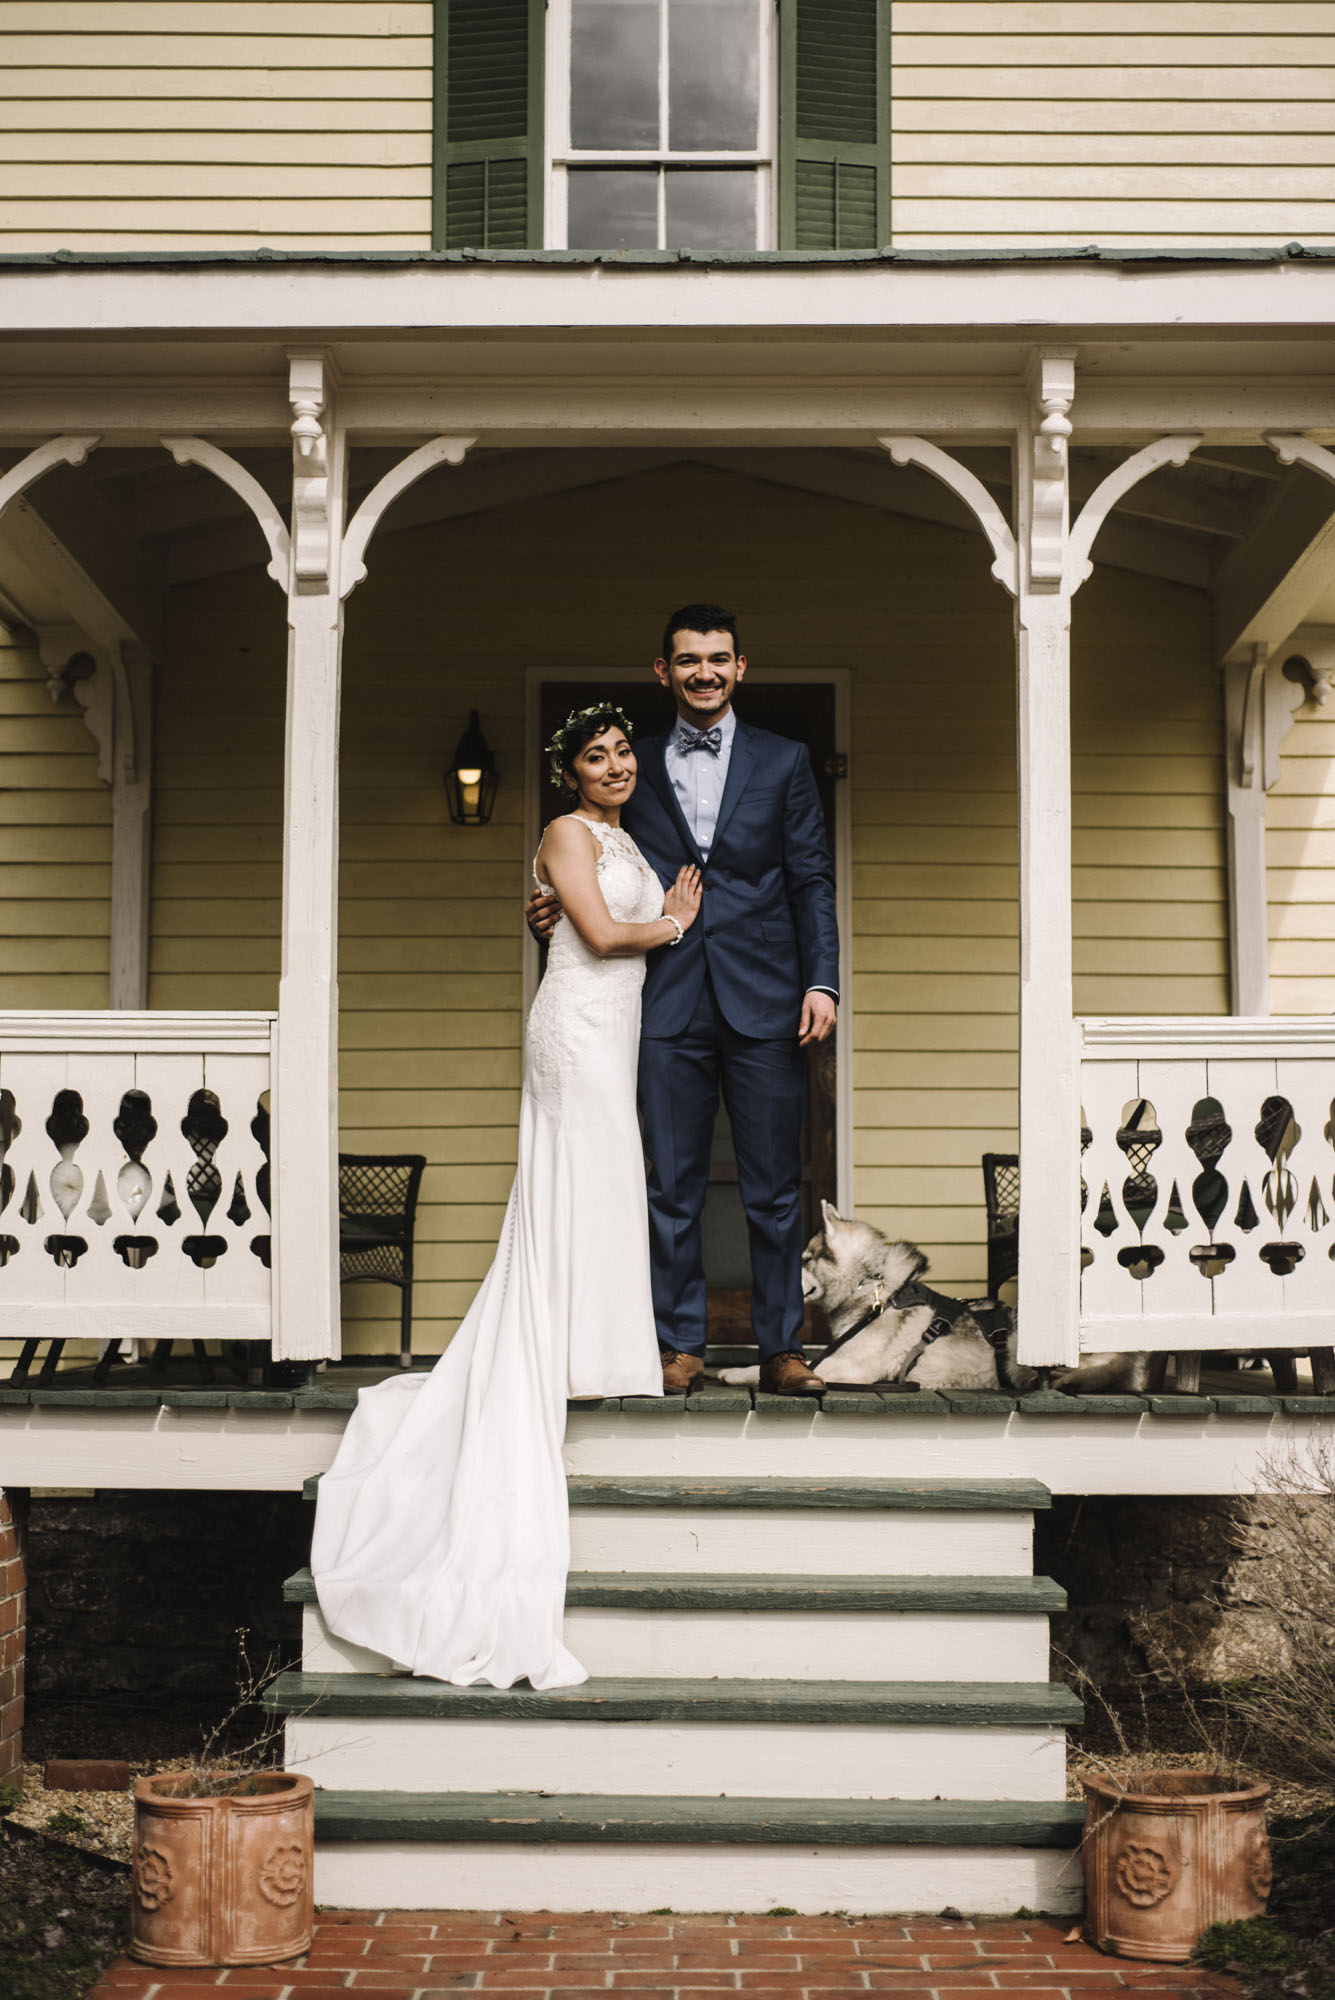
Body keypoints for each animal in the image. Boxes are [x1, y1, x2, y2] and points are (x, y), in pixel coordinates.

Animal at [715, 1200, 1151, 1392]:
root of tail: (1130, 1356)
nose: (766, 1280)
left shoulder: (848, 1369)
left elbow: (775, 1369)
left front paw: (736, 1372)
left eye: (805, 1259)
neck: (872, 1289)